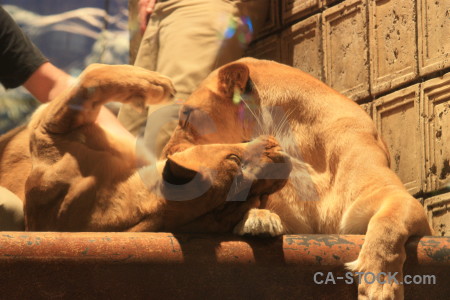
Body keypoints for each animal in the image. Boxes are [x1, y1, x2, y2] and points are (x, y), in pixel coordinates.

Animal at [0, 63, 290, 232]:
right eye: (234, 160)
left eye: (257, 196)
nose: (281, 156)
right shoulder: (49, 129)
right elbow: (92, 75)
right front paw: (153, 83)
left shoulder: (48, 128)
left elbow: (91, 75)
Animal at [162, 57, 432, 298]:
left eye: (186, 115)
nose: (165, 153)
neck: (297, 144)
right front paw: (259, 218)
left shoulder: (390, 195)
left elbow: (387, 226)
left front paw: (379, 285)